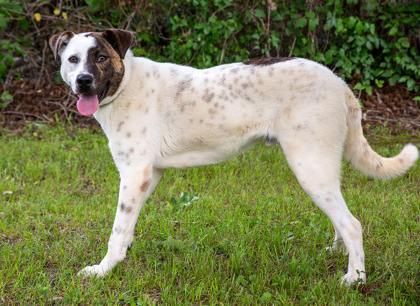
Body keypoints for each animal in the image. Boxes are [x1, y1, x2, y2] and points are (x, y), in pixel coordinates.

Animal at [48, 28, 416, 284]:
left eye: (100, 57)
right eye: (72, 60)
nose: (83, 81)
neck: (125, 85)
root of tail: (340, 84)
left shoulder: (135, 174)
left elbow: (116, 230)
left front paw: (102, 270)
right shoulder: (148, 176)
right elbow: (126, 229)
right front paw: (120, 258)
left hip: (309, 167)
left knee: (353, 224)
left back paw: (354, 279)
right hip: (322, 168)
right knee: (341, 217)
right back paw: (339, 252)